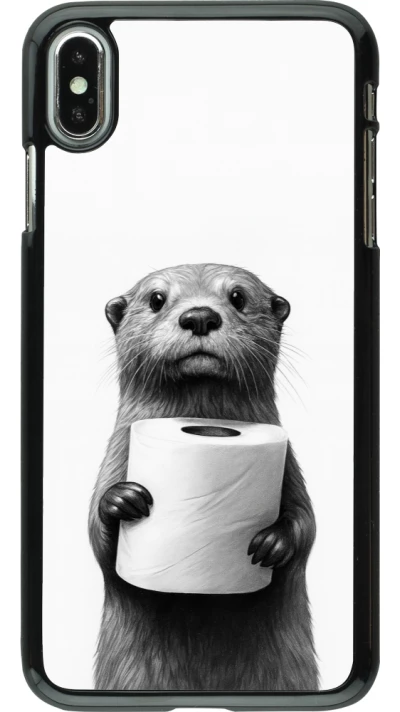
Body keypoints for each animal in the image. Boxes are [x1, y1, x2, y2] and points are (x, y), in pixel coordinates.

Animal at [89, 263, 318, 691]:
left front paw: (273, 543)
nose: (199, 316)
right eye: (156, 299)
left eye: (238, 297)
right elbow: (97, 539)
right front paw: (121, 500)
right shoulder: (115, 457)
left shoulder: (291, 468)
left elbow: (307, 524)